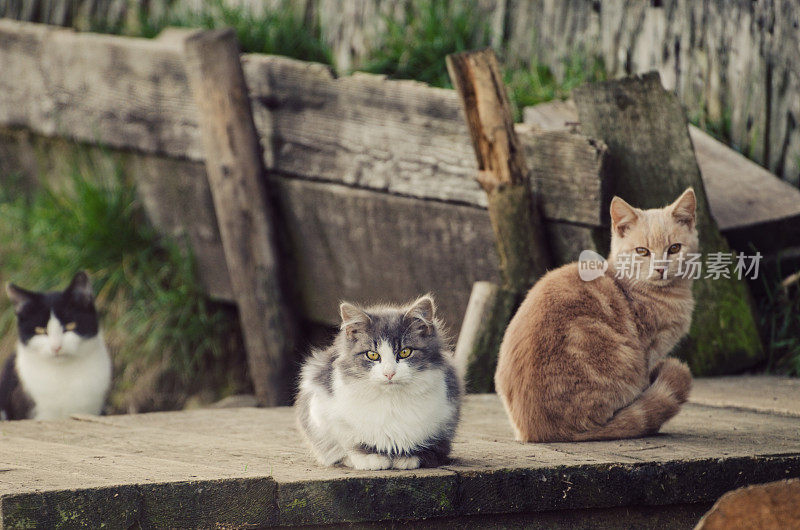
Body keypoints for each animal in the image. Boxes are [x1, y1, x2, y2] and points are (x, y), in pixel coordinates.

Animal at [296, 294, 462, 468]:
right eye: (372, 355)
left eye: (405, 352)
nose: (389, 373)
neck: (391, 400)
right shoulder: (321, 412)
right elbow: (351, 444)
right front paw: (370, 458)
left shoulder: (445, 417)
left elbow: (428, 446)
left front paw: (408, 458)